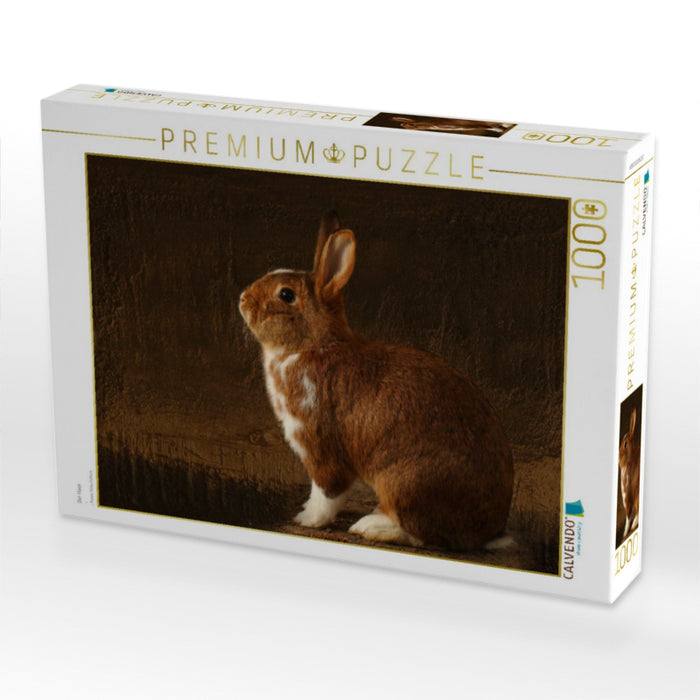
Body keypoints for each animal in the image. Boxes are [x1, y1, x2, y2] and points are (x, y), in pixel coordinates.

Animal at [238, 211, 514, 550]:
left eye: (286, 294)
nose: (242, 300)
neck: (314, 345)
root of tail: (487, 532)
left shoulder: (318, 443)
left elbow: (327, 493)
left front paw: (306, 520)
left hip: (405, 484)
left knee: (421, 534)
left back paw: (373, 527)